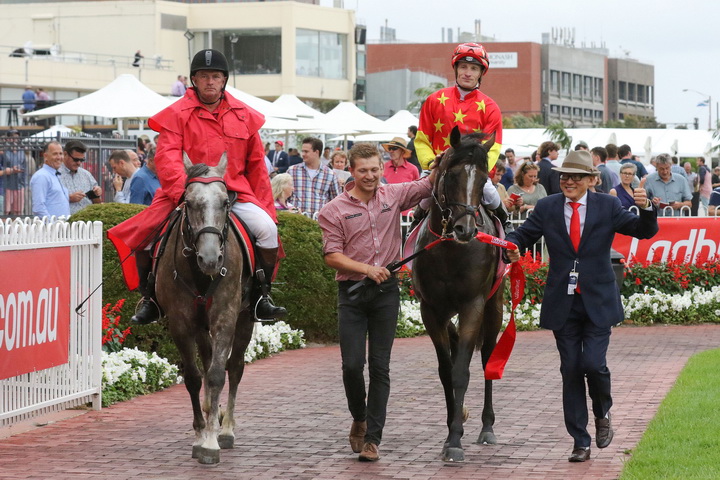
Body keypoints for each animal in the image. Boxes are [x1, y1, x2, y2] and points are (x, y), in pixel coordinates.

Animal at [156, 155, 255, 464]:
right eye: (188, 202)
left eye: (225, 202)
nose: (211, 259)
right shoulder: (181, 323)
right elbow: (193, 376)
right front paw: (201, 432)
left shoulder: (226, 317)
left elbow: (216, 374)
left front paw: (211, 440)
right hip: (201, 326)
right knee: (210, 358)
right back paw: (213, 410)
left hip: (245, 319)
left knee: (234, 367)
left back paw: (226, 427)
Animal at [410, 126, 506, 462]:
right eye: (451, 176)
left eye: (483, 177)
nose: (466, 228)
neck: (450, 250)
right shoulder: (430, 309)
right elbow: (445, 371)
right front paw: (453, 428)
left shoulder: (473, 306)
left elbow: (461, 371)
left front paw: (454, 440)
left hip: (494, 306)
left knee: (488, 357)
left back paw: (487, 427)